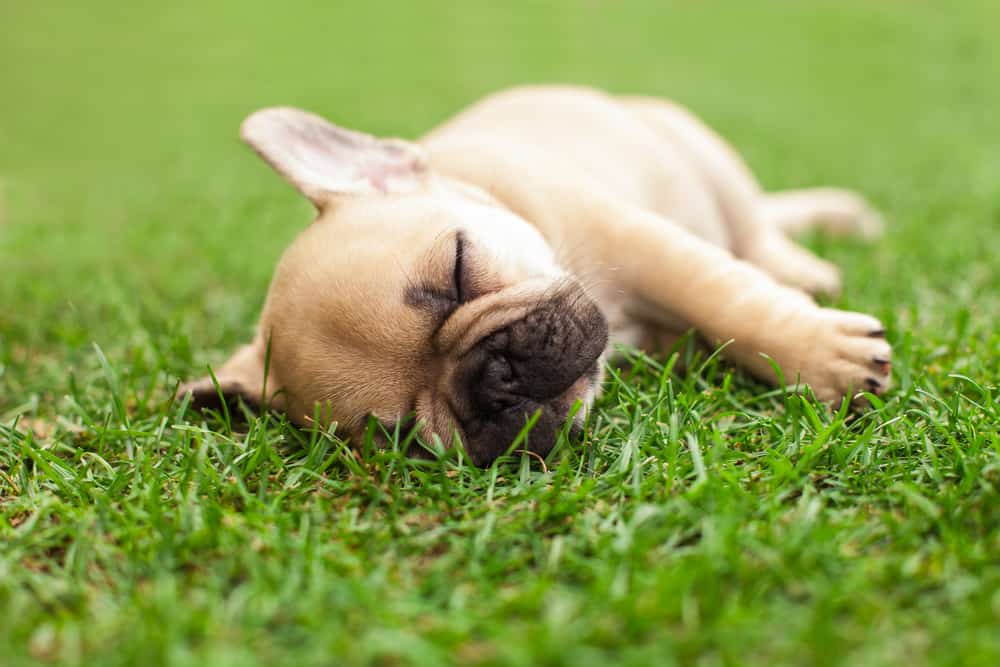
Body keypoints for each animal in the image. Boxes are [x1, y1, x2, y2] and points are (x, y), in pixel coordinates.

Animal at [180, 86, 892, 468]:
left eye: (459, 269)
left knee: (756, 231)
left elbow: (727, 302)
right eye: (405, 434)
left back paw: (806, 260)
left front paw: (827, 359)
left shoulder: (642, 244)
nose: (493, 379)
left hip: (705, 155)